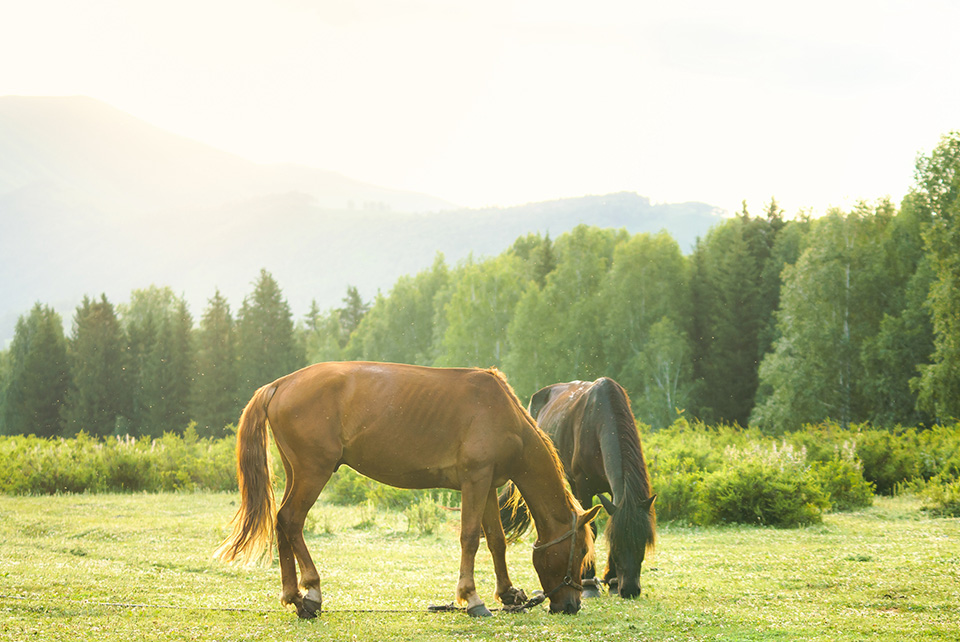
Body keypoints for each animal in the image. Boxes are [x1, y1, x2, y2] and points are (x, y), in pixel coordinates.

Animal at [218, 360, 600, 616]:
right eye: (581, 551)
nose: (571, 605)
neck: (502, 414)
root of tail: (281, 384)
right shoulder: (474, 481)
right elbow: (470, 538)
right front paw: (472, 597)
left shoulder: (488, 484)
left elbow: (495, 540)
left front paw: (507, 594)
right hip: (314, 472)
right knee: (292, 521)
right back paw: (309, 594)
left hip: (297, 472)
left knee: (281, 522)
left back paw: (292, 595)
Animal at [502, 378, 652, 596]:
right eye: (616, 544)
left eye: (643, 542)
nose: (630, 589)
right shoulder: (583, 486)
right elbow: (591, 529)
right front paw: (589, 583)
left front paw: (612, 580)